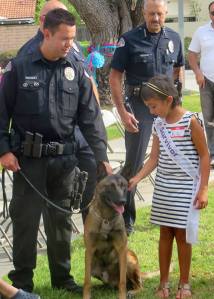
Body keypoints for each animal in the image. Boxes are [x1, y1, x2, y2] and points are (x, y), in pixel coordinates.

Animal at [83, 166, 144, 299]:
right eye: (110, 186)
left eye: (123, 186)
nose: (123, 201)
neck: (106, 218)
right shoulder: (89, 250)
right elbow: (87, 281)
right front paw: (86, 295)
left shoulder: (122, 249)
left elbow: (122, 281)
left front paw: (122, 296)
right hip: (94, 266)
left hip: (129, 259)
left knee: (137, 284)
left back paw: (132, 291)